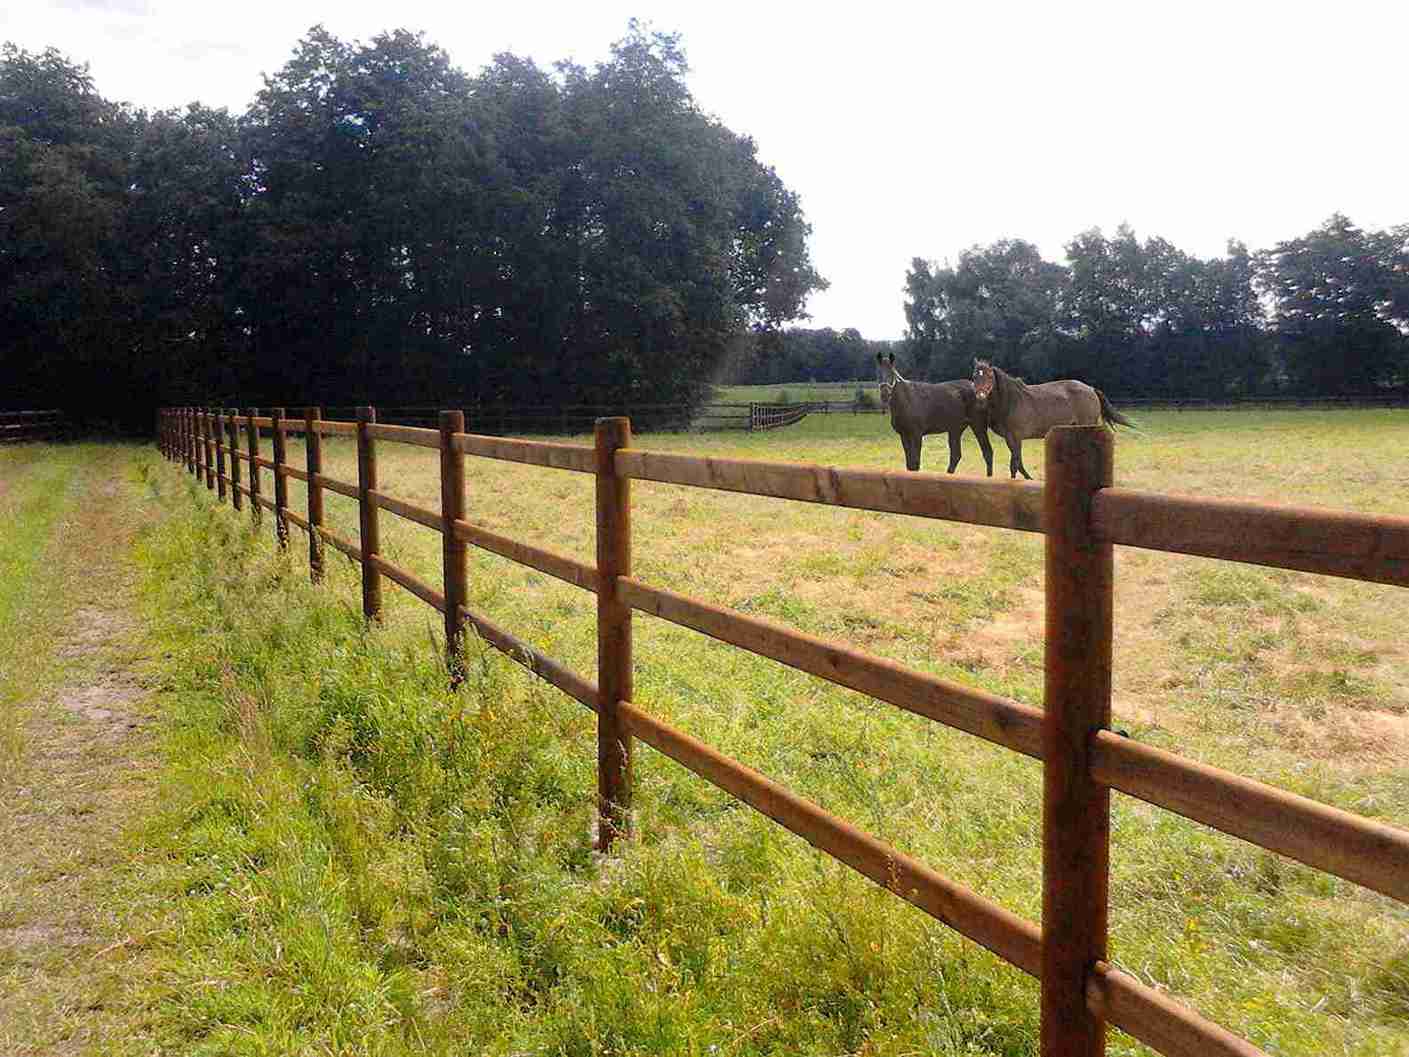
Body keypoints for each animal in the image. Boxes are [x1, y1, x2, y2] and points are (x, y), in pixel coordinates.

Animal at [971, 359, 1137, 479]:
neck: (1011, 401)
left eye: (990, 376)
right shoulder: (1010, 439)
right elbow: (1018, 464)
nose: (980, 397)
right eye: (974, 377)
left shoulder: (1015, 437)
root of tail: (1091, 389)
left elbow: (1015, 464)